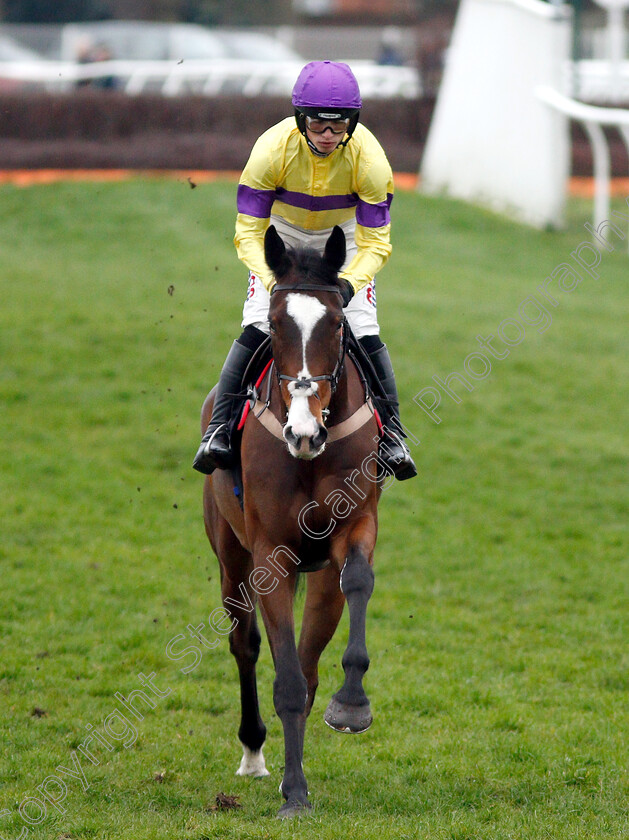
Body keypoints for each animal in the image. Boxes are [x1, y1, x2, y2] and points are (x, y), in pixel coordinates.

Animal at [204, 226, 386, 816]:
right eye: (277, 323)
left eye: (337, 324)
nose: (303, 433)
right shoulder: (270, 557)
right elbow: (282, 677)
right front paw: (294, 793)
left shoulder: (355, 528)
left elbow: (358, 582)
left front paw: (351, 705)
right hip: (230, 553)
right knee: (246, 645)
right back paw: (255, 754)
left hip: (320, 577)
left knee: (308, 662)